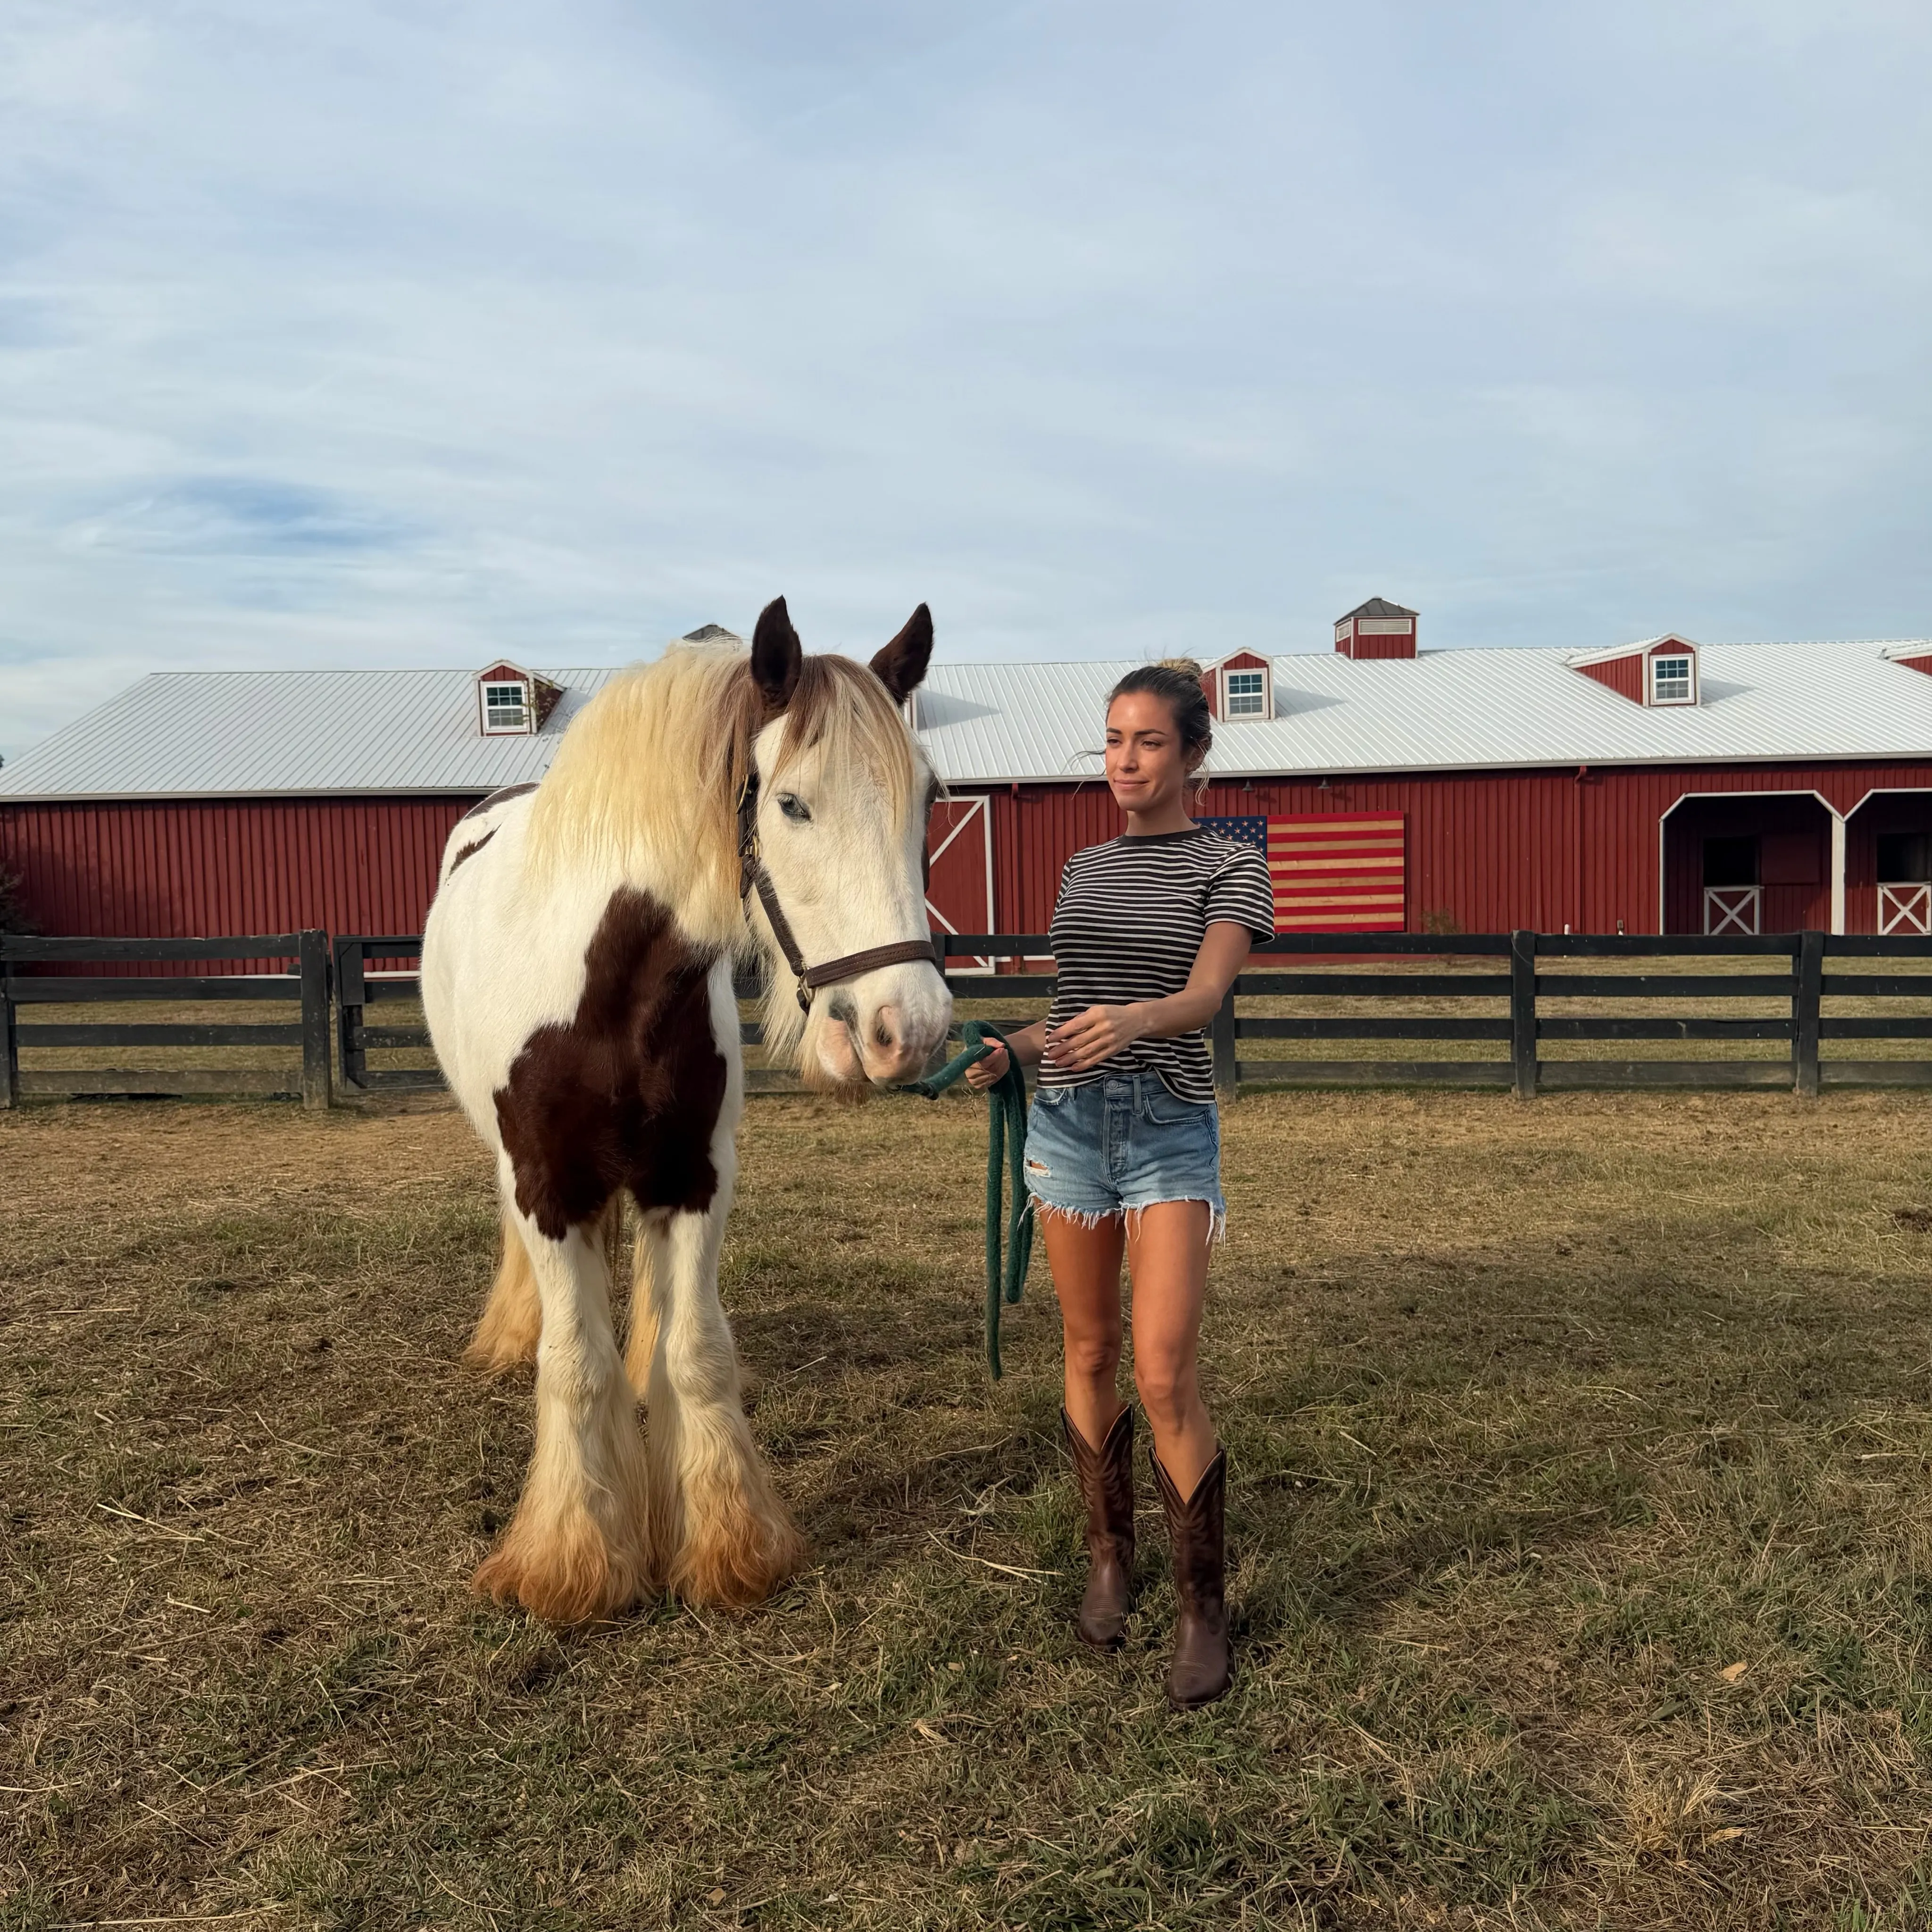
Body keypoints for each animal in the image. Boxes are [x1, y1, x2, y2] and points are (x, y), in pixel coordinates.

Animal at [421, 598, 951, 1625]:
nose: (906, 1029)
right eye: (790, 803)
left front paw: (729, 1547)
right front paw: (572, 1562)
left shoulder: (695, 1177)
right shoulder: (547, 1184)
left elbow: (696, 1348)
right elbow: (573, 1364)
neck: (607, 991)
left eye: (927, 800)